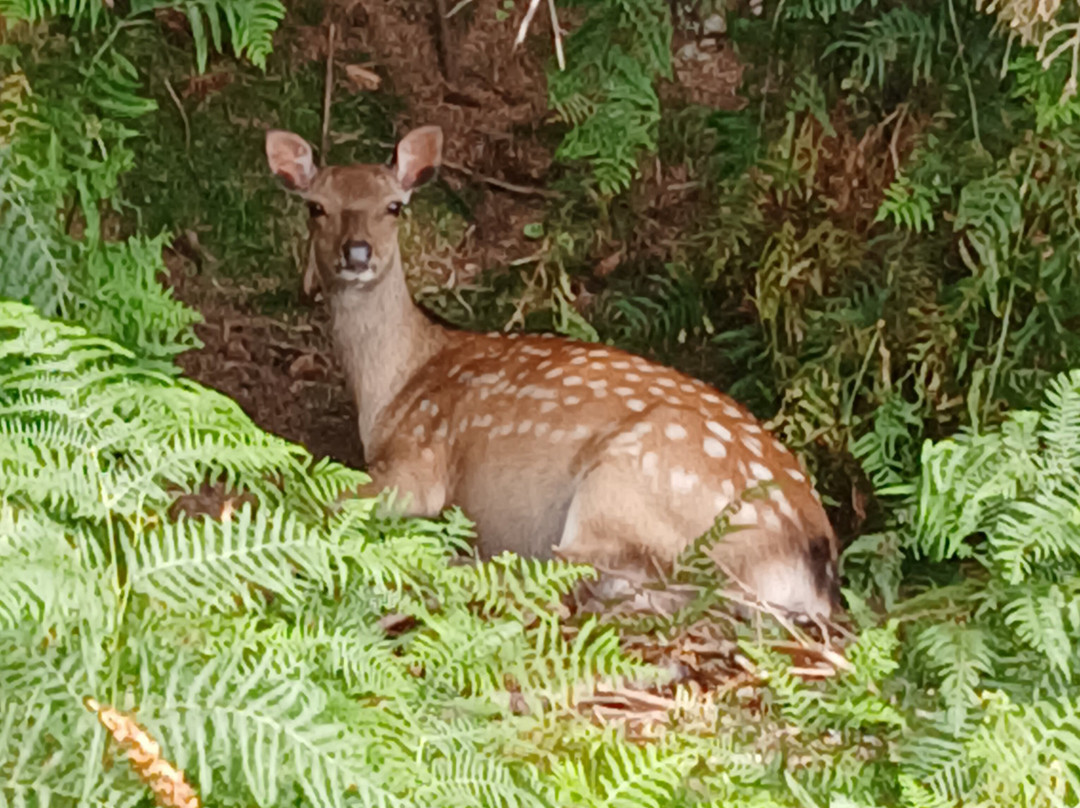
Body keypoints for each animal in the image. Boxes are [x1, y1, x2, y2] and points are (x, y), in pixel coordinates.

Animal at [265, 124, 841, 620]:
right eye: (316, 207)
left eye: (394, 207)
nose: (356, 252)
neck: (395, 383)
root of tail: (810, 557)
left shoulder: (420, 460)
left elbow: (321, 494)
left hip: (633, 479)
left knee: (573, 569)